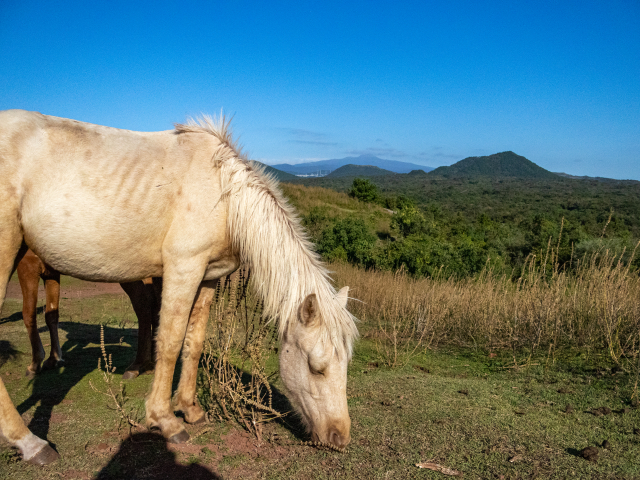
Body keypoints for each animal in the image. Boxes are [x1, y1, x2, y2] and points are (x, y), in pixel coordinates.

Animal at [16, 248, 161, 378]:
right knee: (155, 306)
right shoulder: (51, 272)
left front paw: (34, 365)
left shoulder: (27, 263)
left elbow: (28, 314)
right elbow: (51, 314)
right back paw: (151, 364)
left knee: (144, 307)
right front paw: (54, 359)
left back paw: (137, 366)